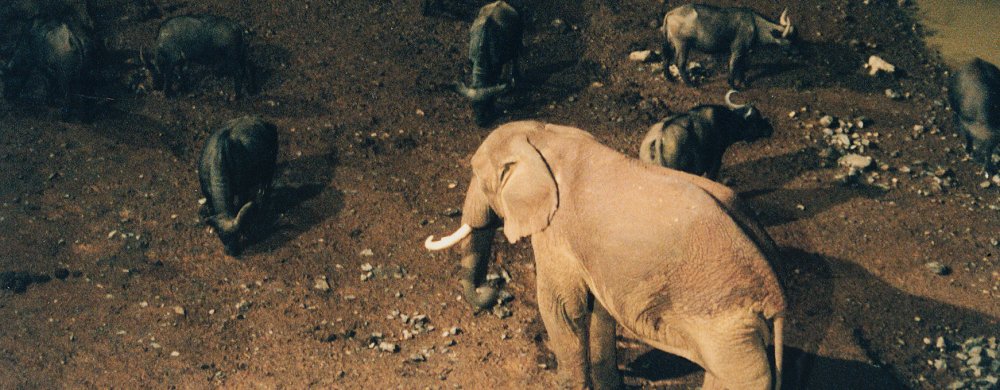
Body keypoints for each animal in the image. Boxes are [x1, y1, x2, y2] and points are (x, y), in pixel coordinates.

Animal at [198, 116, 280, 256]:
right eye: (221, 236)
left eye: (237, 235)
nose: (232, 251)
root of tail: (268, 124)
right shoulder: (206, 193)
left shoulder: (243, 190)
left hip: (270, 168)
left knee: (265, 187)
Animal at [426, 120, 784, 388]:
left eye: (478, 177)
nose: (493, 290)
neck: (544, 137)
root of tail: (777, 295)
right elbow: (599, 309)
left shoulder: (556, 231)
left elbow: (561, 308)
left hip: (725, 325)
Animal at [664, 3, 796, 89]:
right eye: (790, 40)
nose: (797, 52)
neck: (755, 25)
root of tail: (670, 13)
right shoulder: (737, 50)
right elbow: (733, 65)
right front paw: (733, 85)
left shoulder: (743, 52)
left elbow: (741, 66)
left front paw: (743, 82)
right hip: (683, 45)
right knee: (680, 64)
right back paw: (691, 84)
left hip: (671, 44)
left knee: (666, 59)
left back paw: (669, 78)